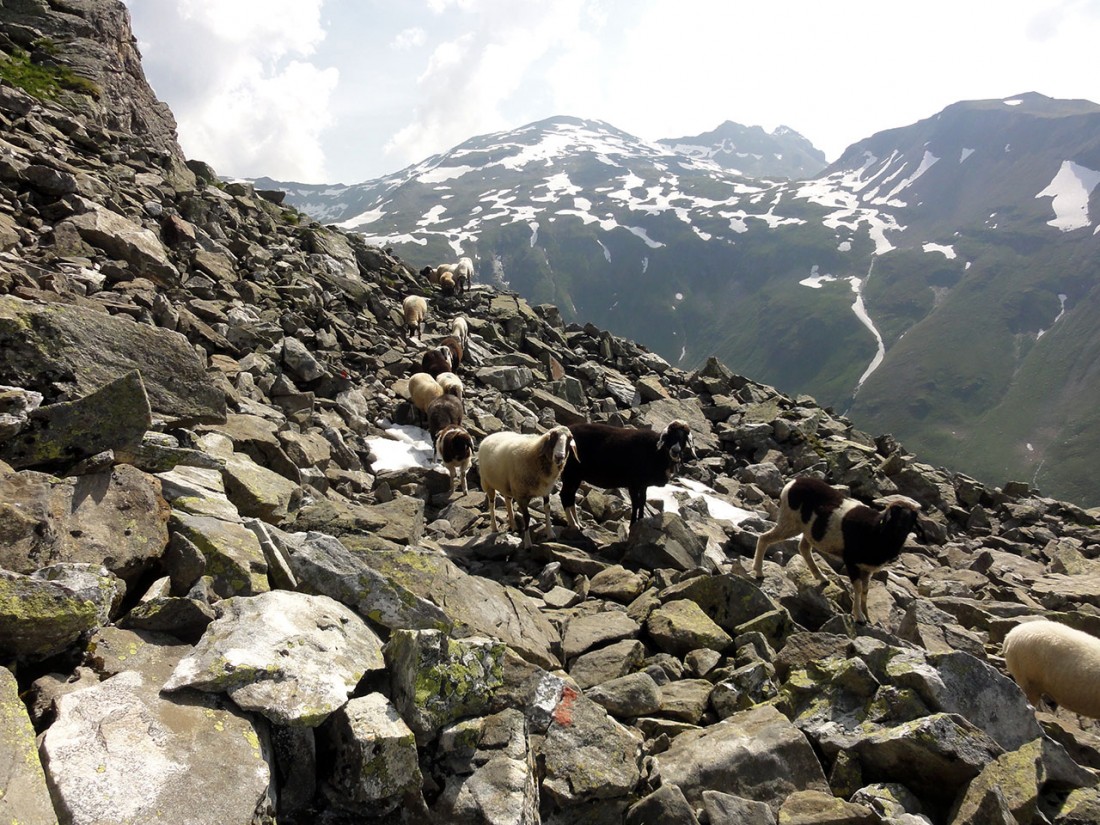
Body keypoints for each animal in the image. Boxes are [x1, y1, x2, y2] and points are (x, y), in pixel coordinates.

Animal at [558, 420, 695, 530]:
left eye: (683, 438)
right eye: (670, 436)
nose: (675, 450)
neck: (656, 452)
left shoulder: (643, 484)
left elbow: (642, 501)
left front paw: (640, 520)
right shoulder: (633, 483)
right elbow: (635, 502)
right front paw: (633, 523)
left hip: (575, 476)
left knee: (570, 496)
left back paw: (578, 524)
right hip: (570, 473)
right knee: (565, 495)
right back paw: (574, 525)